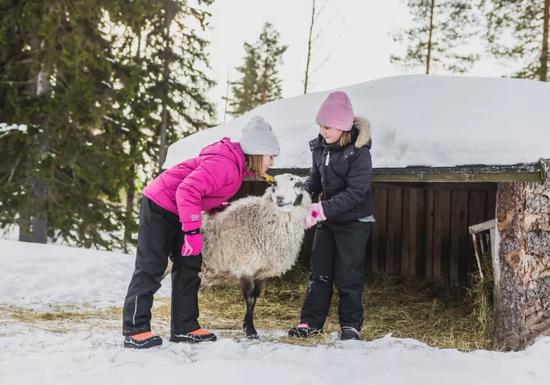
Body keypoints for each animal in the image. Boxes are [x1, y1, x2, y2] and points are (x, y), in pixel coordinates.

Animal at [199, 172, 312, 338]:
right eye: (274, 184)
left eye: (298, 185)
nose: (280, 198)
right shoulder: (245, 267)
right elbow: (250, 298)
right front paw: (251, 331)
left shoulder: (262, 272)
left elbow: (256, 297)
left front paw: (247, 325)